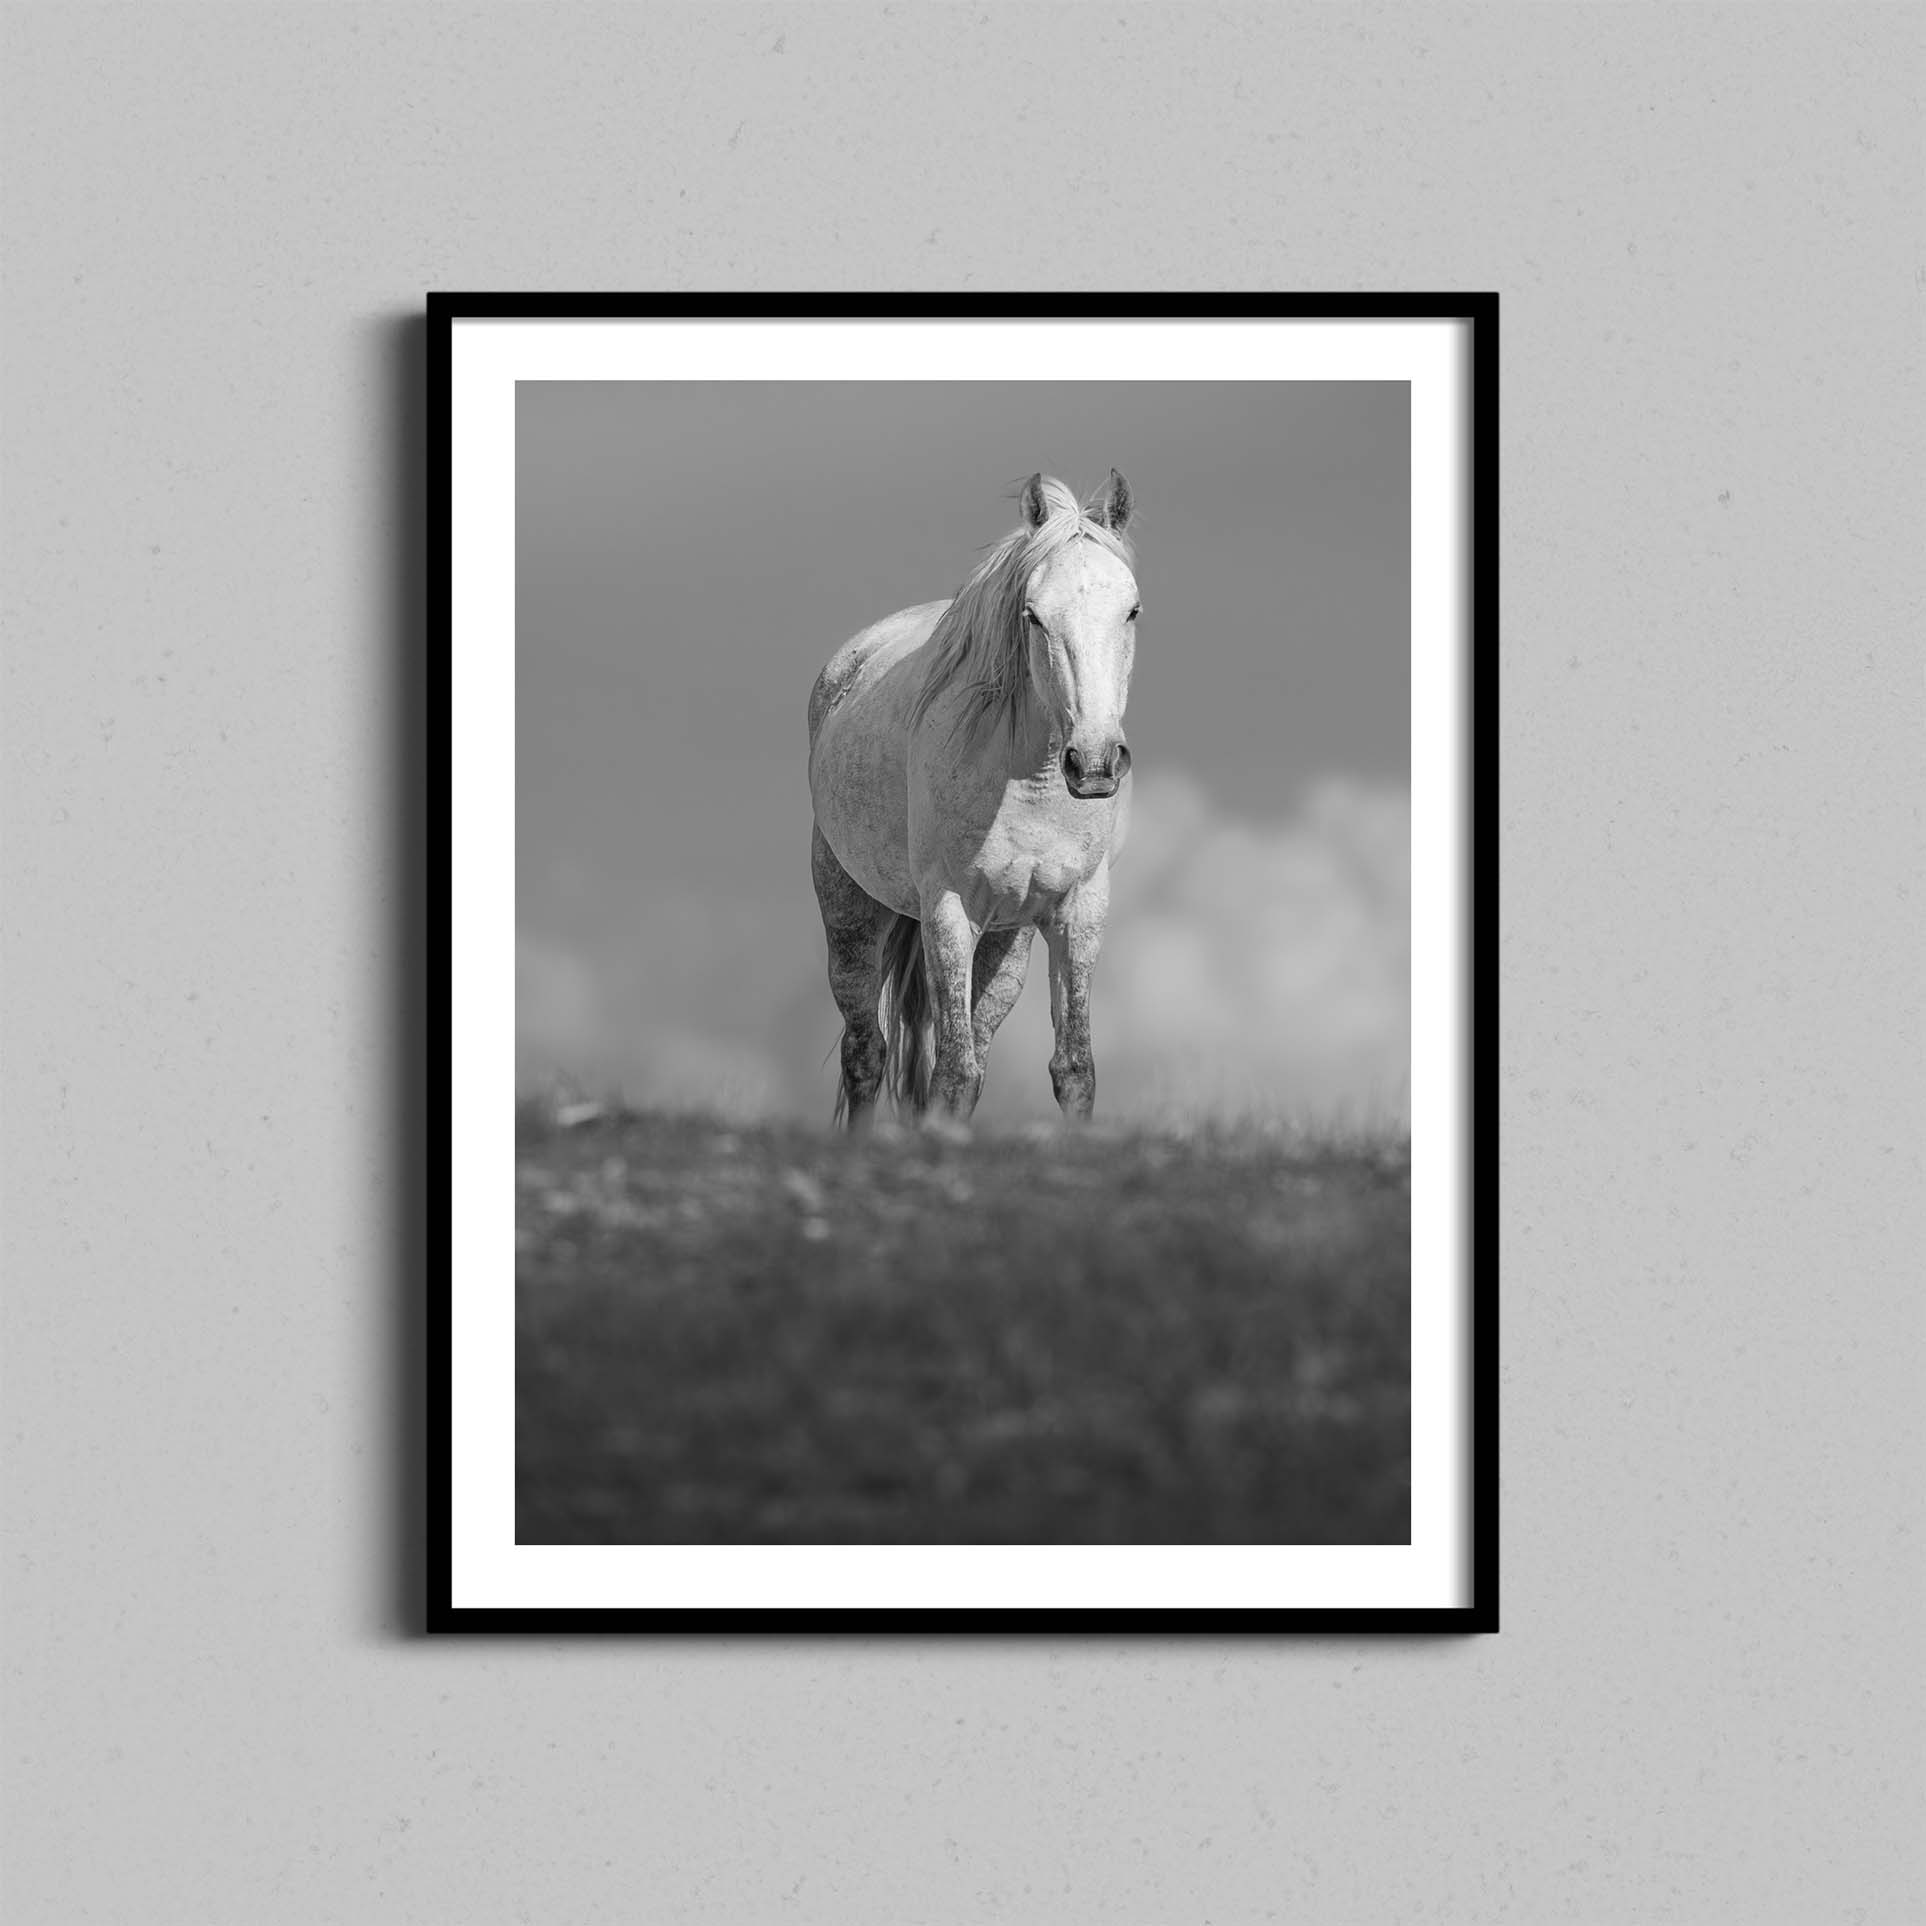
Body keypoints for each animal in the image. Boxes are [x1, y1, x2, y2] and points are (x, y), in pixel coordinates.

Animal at [807, 470, 1139, 1128]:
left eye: (1132, 610)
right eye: (1033, 616)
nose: (1094, 763)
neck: (1029, 779)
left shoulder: (1080, 911)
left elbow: (1074, 1069)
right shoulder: (948, 909)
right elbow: (954, 1075)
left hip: (1007, 940)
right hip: (851, 911)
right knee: (866, 1053)